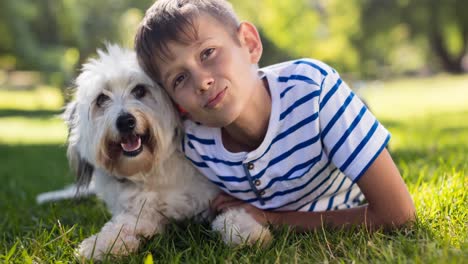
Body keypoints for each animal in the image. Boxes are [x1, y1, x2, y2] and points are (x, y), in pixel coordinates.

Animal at [64, 45, 272, 260]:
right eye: (101, 99)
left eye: (140, 90)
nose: (125, 121)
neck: (152, 170)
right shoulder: (140, 212)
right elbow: (121, 227)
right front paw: (99, 245)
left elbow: (232, 213)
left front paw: (248, 232)